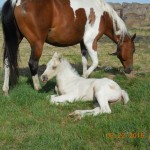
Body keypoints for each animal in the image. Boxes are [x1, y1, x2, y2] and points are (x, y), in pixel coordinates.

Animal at [1, 0, 135, 95]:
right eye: (133, 50)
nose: (129, 70)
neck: (102, 14)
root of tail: (16, 2)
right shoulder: (90, 41)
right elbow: (95, 62)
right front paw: (85, 76)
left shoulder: (83, 43)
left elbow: (85, 61)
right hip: (37, 43)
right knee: (32, 63)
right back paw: (38, 87)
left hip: (16, 39)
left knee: (7, 61)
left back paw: (6, 89)